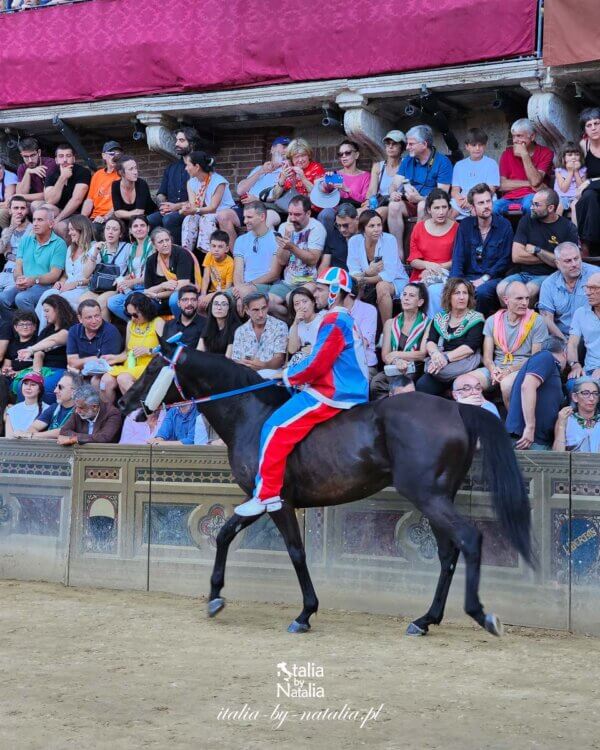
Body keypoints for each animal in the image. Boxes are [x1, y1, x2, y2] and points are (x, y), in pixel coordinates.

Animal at [119, 344, 532, 636]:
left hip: (429, 497)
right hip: (436, 498)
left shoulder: (278, 501)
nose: (124, 401)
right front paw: (215, 596)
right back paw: (425, 619)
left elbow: (296, 552)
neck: (252, 414)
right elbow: (224, 534)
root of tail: (456, 409)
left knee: (469, 539)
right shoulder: (259, 498)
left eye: (153, 368)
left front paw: (305, 612)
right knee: (448, 553)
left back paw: (480, 615)